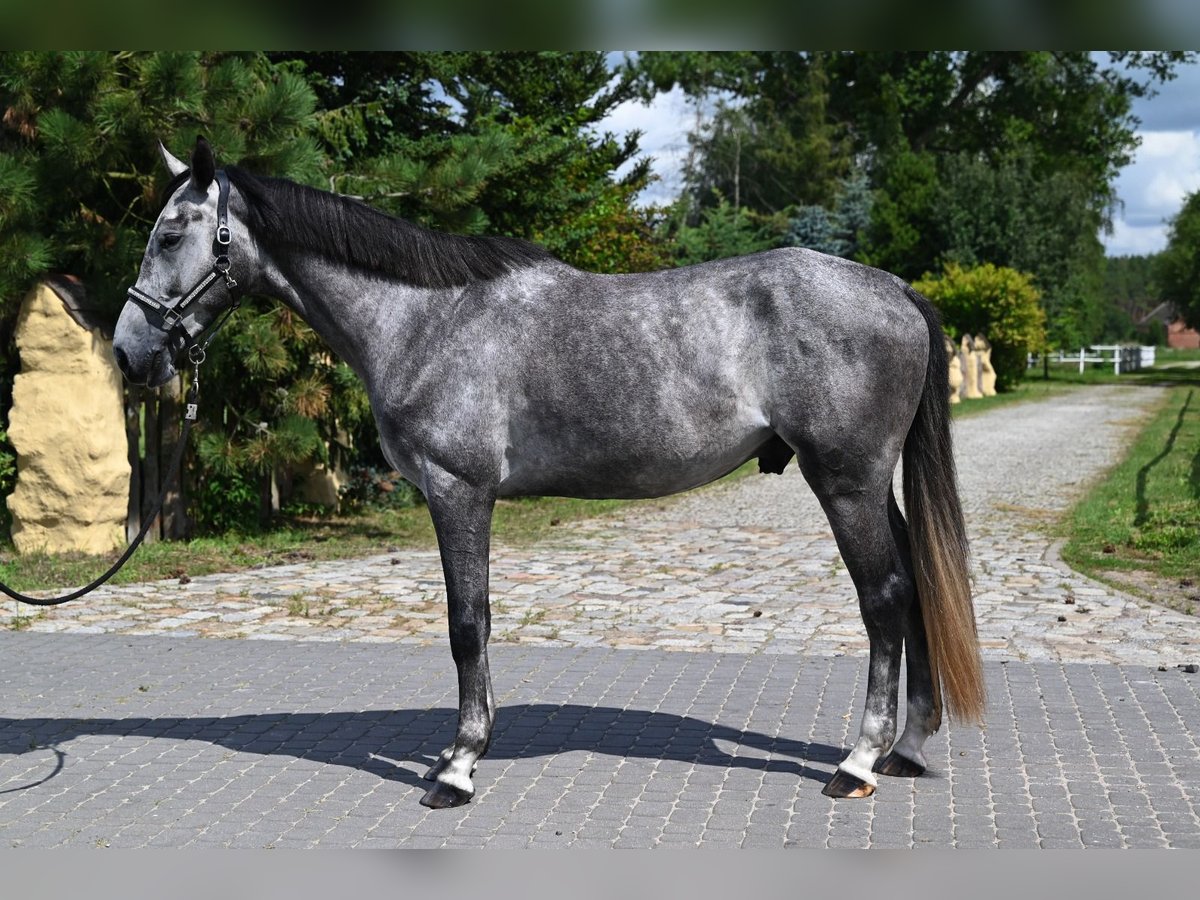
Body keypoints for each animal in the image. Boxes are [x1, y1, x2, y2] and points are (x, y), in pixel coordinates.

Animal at [114, 137, 984, 810]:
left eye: (170, 234)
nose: (129, 353)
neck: (425, 317)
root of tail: (895, 289)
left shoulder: (459, 491)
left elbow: (467, 624)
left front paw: (458, 767)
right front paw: (457, 753)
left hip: (845, 482)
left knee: (883, 599)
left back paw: (858, 762)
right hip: (872, 485)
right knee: (912, 586)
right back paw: (907, 748)